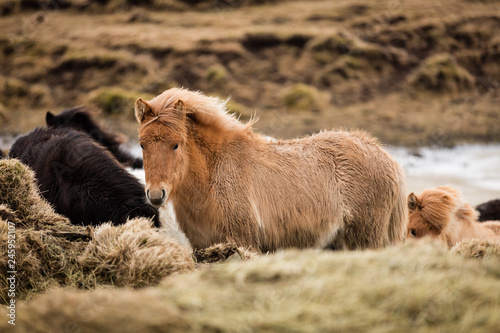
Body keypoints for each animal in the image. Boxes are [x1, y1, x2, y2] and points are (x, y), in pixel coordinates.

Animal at [135, 87, 408, 250]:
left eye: (176, 144)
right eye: (142, 144)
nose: (156, 195)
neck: (212, 176)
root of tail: (386, 158)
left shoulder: (244, 243)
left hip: (366, 240)